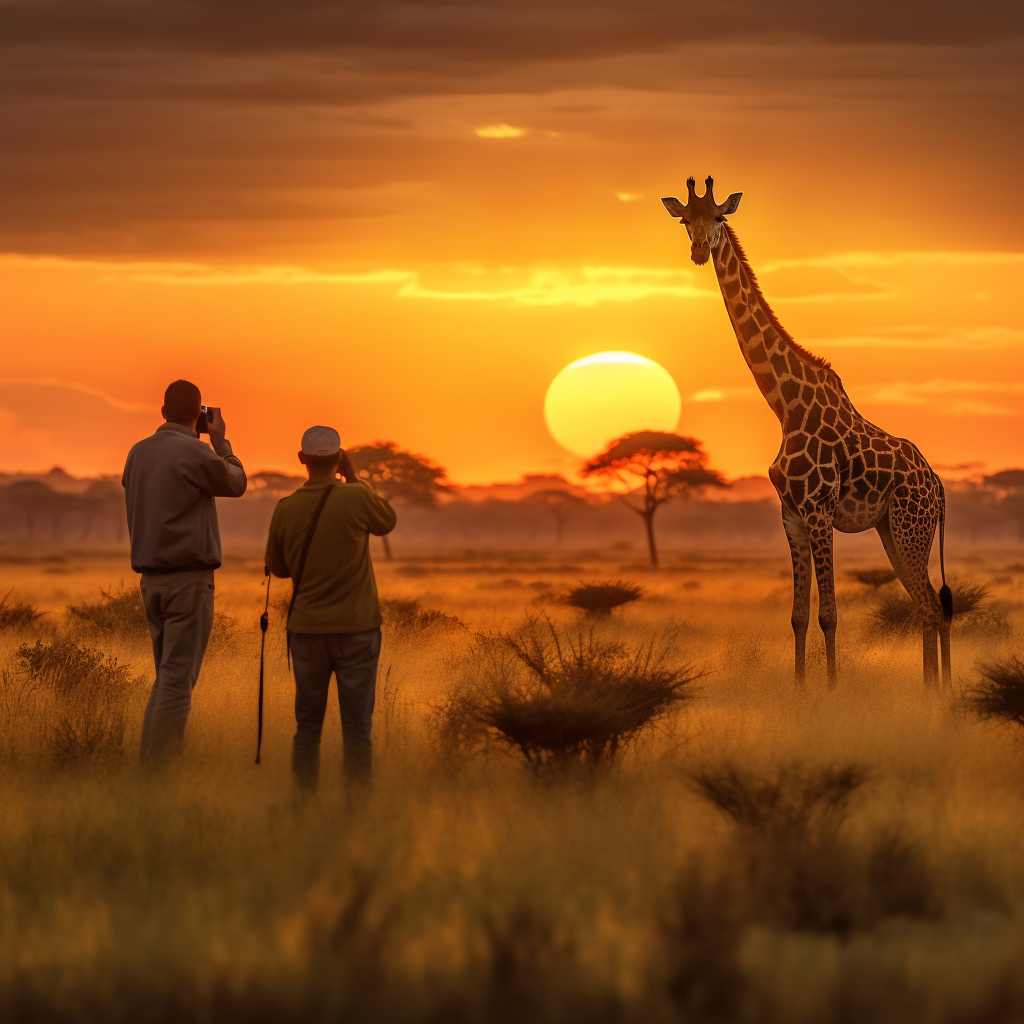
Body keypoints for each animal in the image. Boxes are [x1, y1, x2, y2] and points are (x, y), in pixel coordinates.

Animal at [662, 176, 952, 689]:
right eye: (684, 221)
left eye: (718, 217)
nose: (699, 250)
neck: (784, 405)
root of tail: (936, 484)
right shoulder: (791, 517)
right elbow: (798, 617)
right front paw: (800, 692)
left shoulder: (818, 511)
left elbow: (829, 615)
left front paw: (831, 692)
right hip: (892, 530)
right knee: (928, 606)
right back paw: (934, 693)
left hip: (910, 526)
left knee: (933, 607)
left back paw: (937, 696)